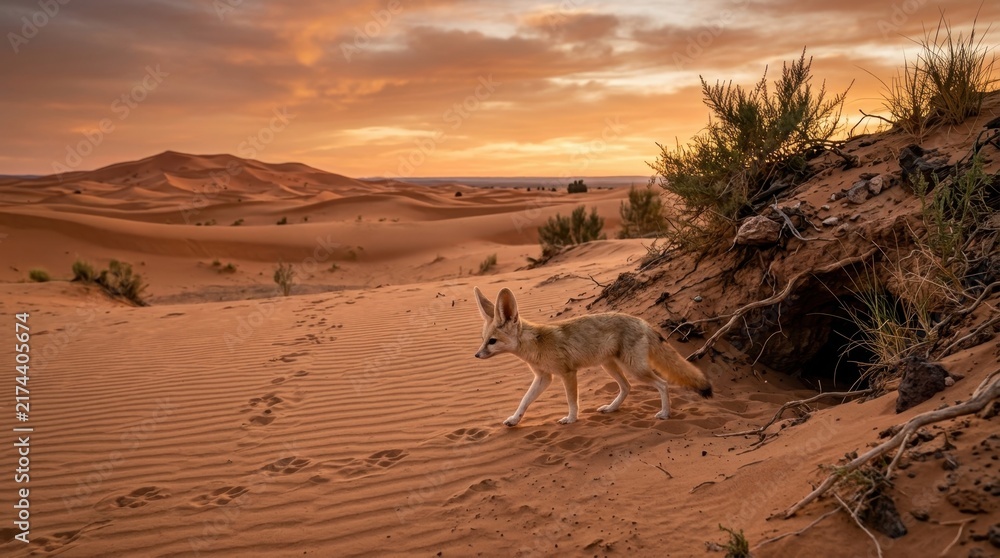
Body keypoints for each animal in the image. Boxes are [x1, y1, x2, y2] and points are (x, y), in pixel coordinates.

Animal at [473, 287, 713, 426]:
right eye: (483, 339)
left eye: (492, 341)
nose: (476, 354)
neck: (536, 345)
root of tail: (642, 321)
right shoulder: (544, 378)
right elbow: (524, 400)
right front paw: (514, 419)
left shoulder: (567, 373)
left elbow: (572, 401)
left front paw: (571, 419)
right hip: (610, 366)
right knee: (627, 387)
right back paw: (611, 408)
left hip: (635, 369)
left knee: (662, 384)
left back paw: (664, 414)